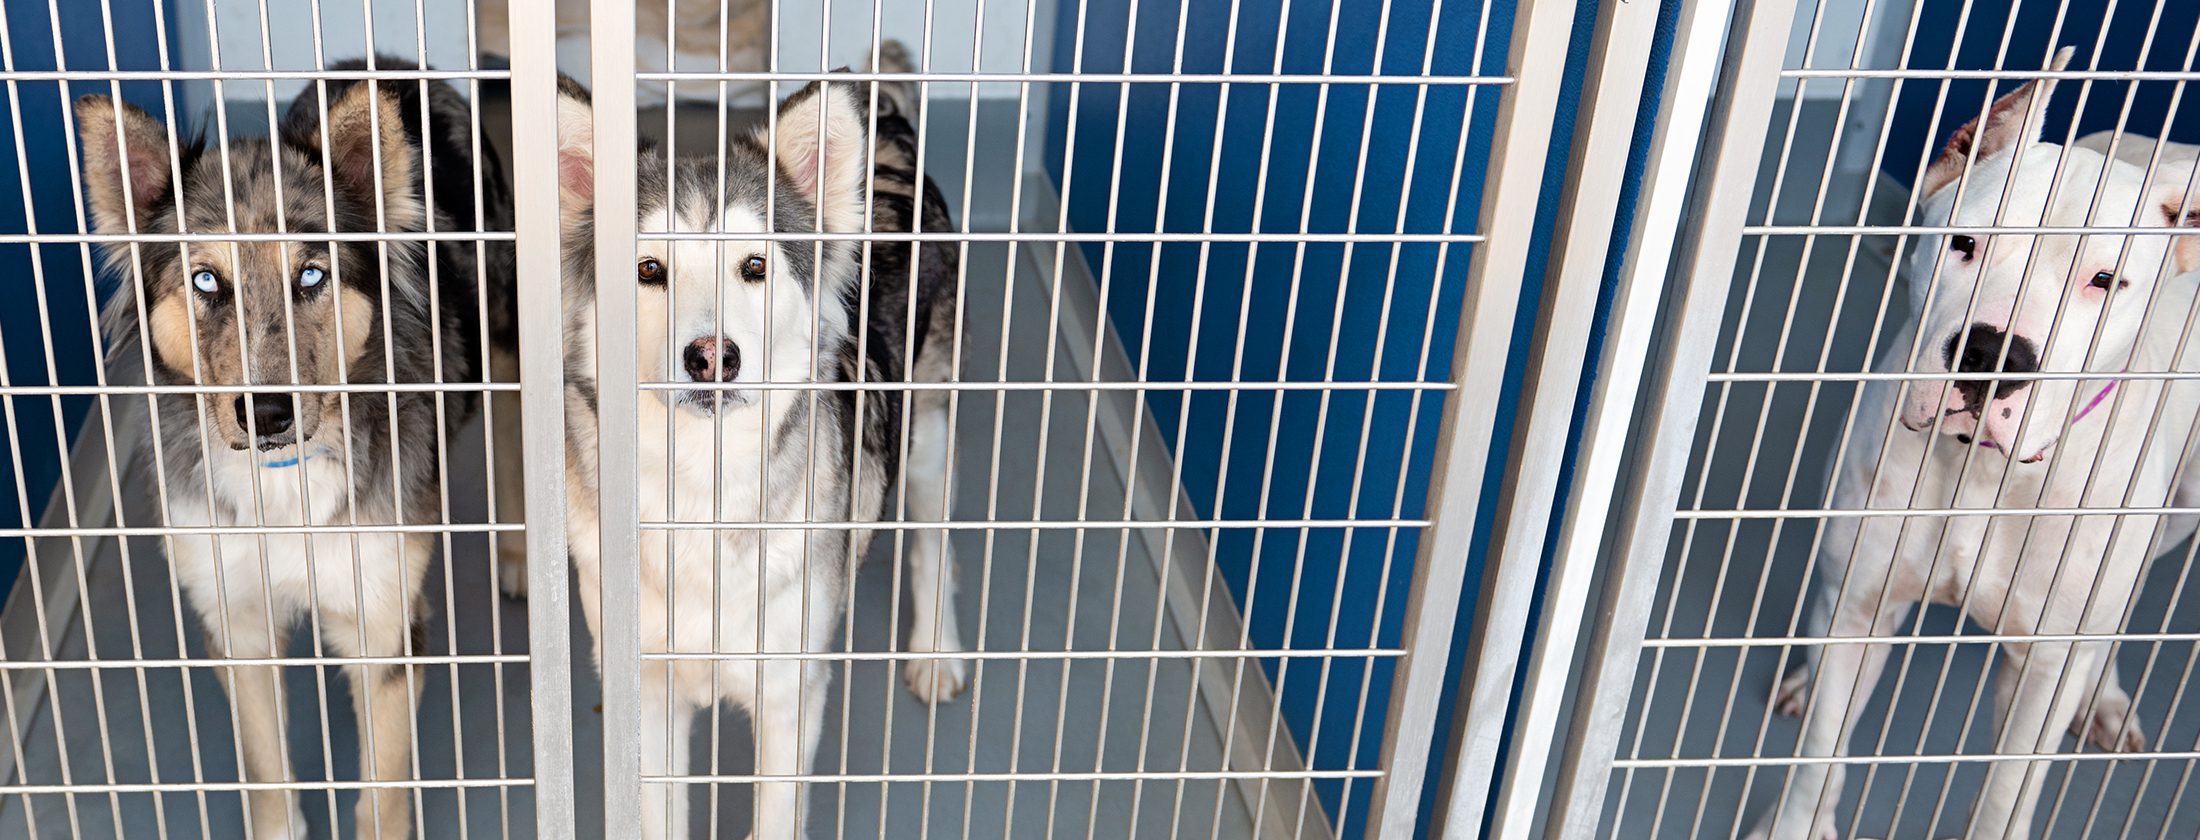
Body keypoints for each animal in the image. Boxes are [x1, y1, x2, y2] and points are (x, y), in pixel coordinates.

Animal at [72, 55, 519, 835]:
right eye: (205, 281)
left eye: (311, 275)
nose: (268, 413)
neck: (283, 480)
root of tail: (381, 60)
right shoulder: (238, 624)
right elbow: (269, 778)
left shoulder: (383, 629)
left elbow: (383, 797)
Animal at [554, 42, 968, 835]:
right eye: (648, 270)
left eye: (755, 266)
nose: (712, 356)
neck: (701, 489)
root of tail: (882, 114)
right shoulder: (646, 692)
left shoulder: (789, 692)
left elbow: (776, 810)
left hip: (931, 428)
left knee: (934, 543)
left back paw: (936, 652)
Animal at [1751, 45, 2200, 840]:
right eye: (1964, 240)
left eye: (2104, 279)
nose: (1993, 354)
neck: (1982, 474)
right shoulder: (1859, 604)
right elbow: (1819, 759)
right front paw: (1796, 822)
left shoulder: (2041, 671)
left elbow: (2006, 789)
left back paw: (2105, 697)